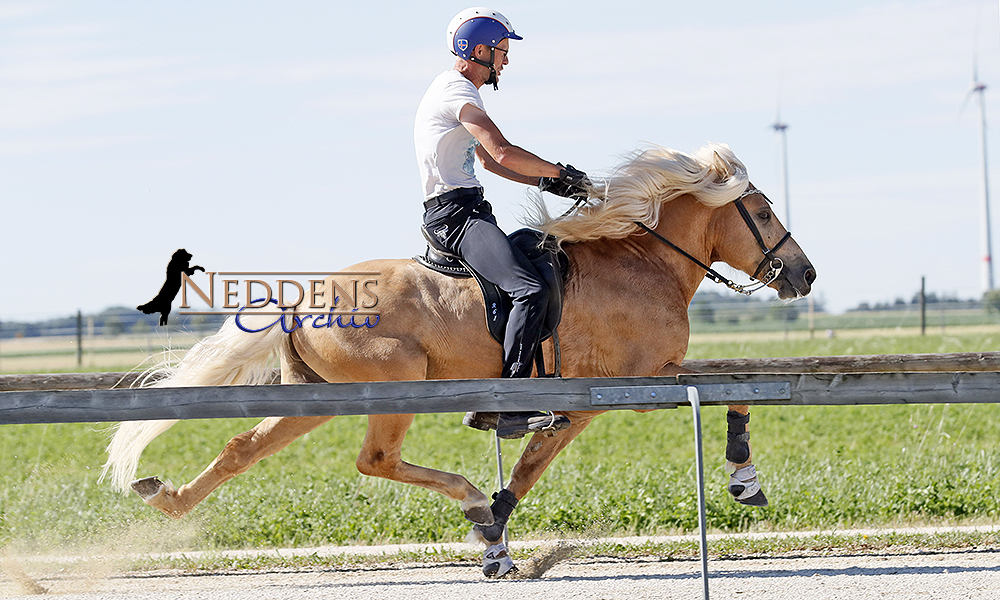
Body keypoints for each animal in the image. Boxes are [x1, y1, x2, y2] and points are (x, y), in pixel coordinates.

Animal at [105, 141, 816, 572]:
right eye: (761, 210)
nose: (804, 275)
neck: (645, 262)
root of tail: (301, 299)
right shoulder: (619, 389)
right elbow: (727, 391)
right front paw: (744, 477)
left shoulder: (607, 392)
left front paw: (498, 535)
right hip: (393, 386)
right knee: (375, 459)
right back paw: (471, 499)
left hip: (315, 398)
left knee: (242, 449)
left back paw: (167, 499)